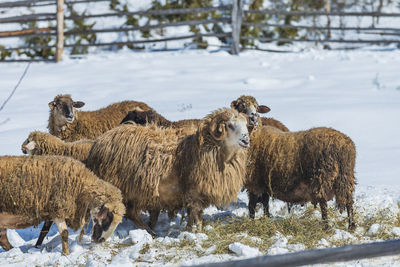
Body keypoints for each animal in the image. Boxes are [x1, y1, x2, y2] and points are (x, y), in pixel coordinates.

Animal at [86, 109, 250, 234]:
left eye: (245, 125)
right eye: (229, 125)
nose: (246, 140)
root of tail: (98, 143)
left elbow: (193, 214)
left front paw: (189, 229)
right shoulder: (195, 192)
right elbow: (197, 215)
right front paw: (197, 232)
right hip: (128, 190)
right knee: (130, 214)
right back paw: (150, 232)